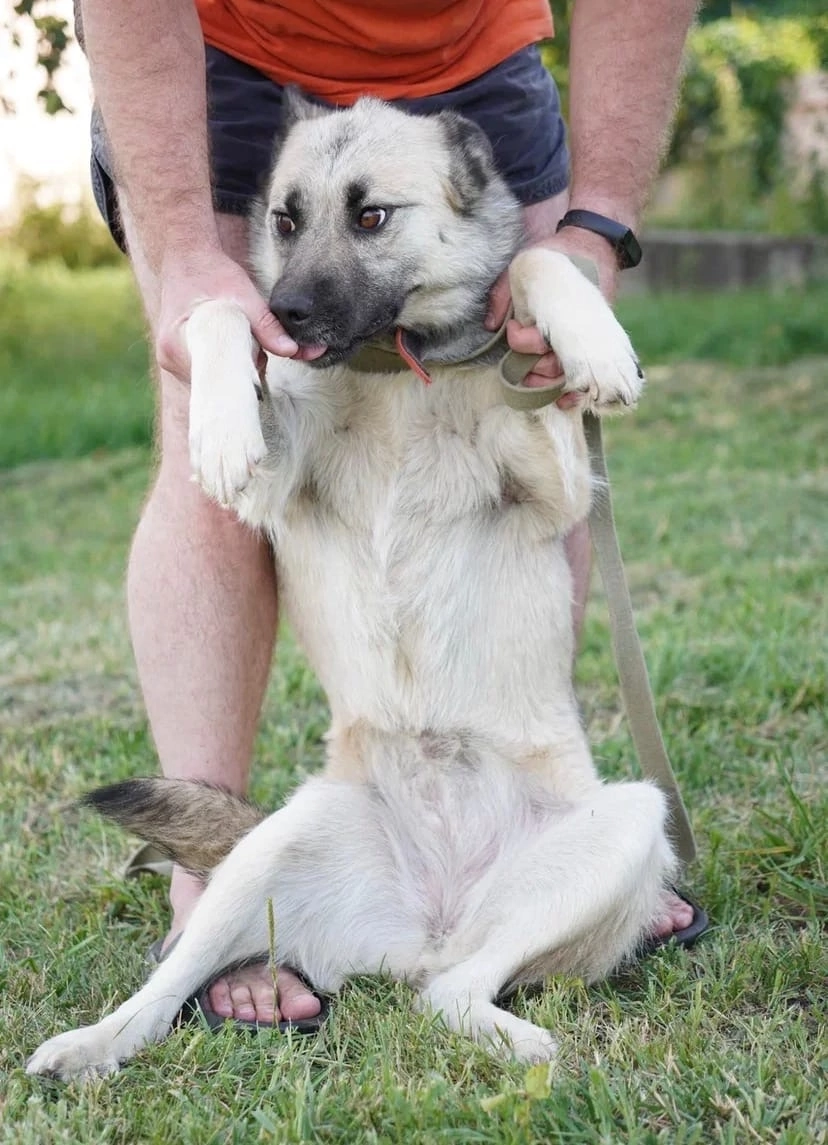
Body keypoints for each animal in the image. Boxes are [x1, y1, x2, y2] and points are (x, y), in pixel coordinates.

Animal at [29, 91, 677, 1080]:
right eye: (285, 221)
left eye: (371, 217)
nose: (287, 309)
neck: (391, 369)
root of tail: (427, 922)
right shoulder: (270, 473)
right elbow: (216, 313)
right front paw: (222, 422)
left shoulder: (558, 480)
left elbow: (536, 258)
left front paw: (593, 341)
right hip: (272, 853)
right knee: (168, 988)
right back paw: (90, 1044)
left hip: (630, 824)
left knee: (452, 992)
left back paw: (514, 1038)